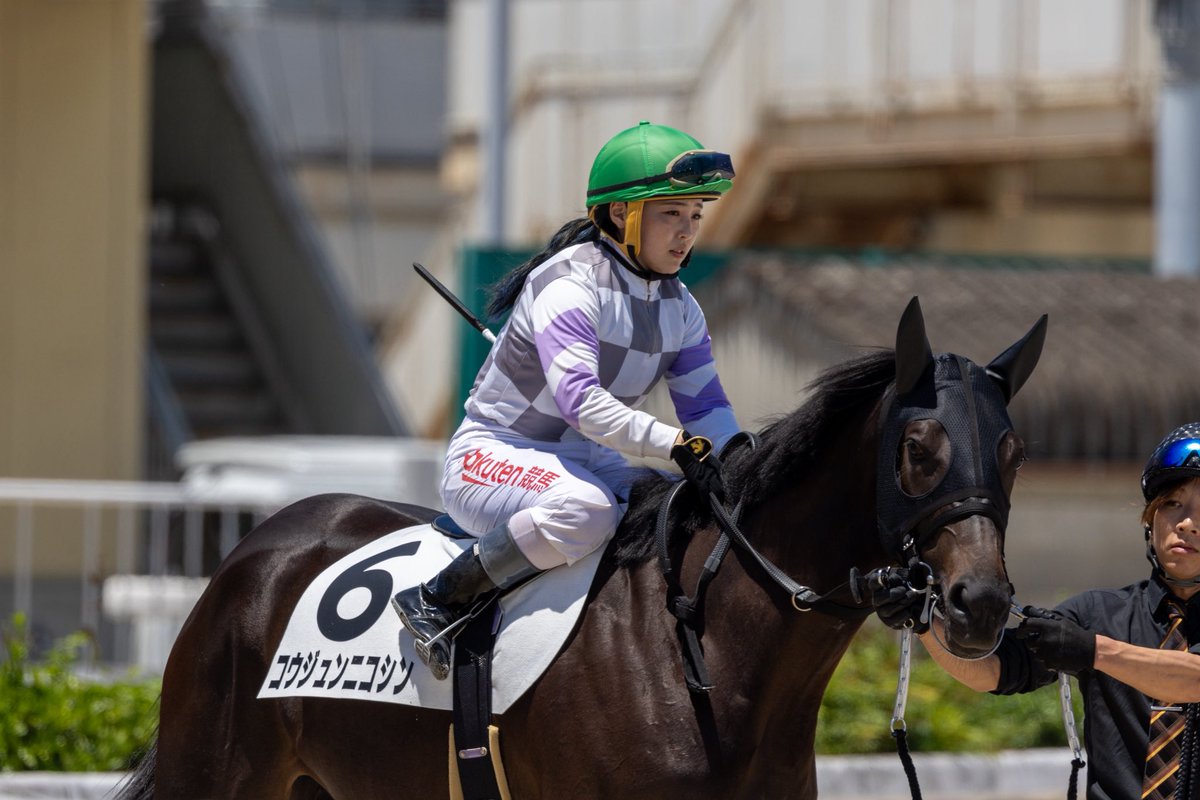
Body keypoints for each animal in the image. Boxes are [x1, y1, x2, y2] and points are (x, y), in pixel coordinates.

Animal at [116, 297, 1046, 799]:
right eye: (918, 447)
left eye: (1012, 450)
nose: (980, 604)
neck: (706, 651)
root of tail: (263, 547)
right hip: (217, 775)